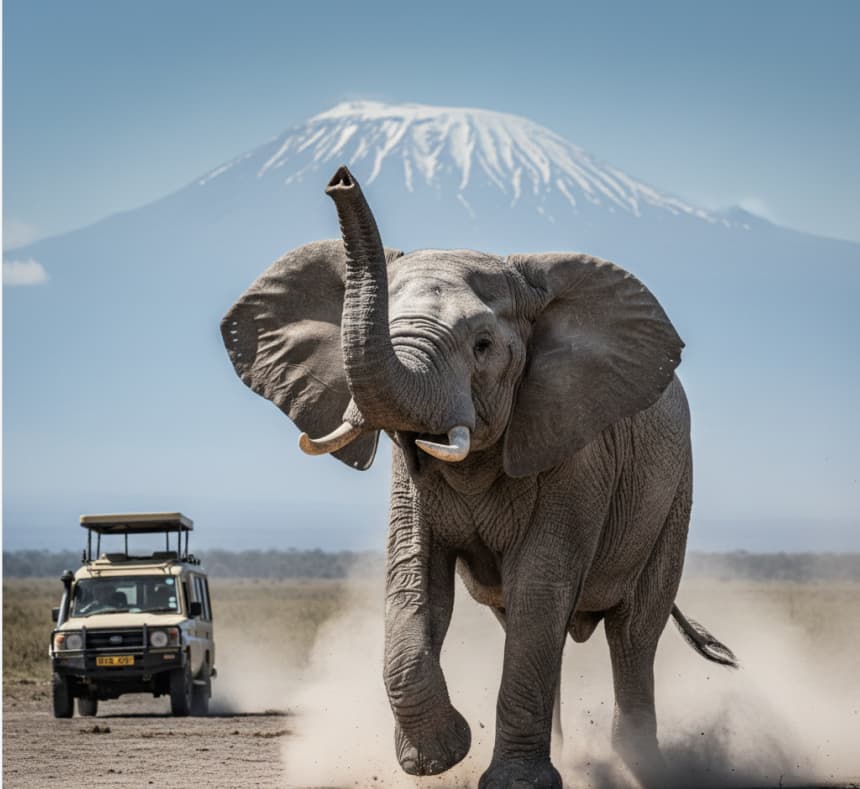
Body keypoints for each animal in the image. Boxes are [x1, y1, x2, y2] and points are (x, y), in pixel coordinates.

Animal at [221, 165, 737, 788]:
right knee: (532, 626)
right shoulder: (411, 478)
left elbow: (540, 581)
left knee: (633, 632)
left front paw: (511, 782)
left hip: (674, 493)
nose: (341, 179)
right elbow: (415, 579)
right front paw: (439, 757)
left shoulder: (576, 447)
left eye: (483, 346)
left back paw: (642, 766)